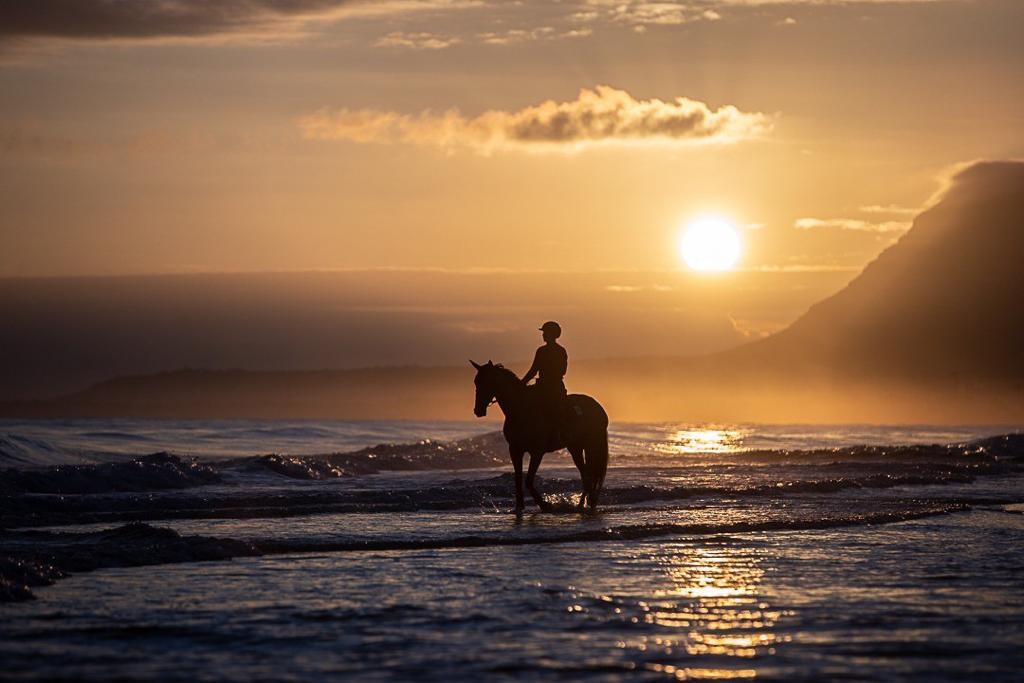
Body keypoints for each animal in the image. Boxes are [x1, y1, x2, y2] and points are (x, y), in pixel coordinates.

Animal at [471, 362, 606, 511]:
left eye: (488, 381)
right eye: (476, 382)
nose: (478, 410)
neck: (520, 409)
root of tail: (598, 407)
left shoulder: (536, 452)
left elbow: (529, 480)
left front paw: (544, 504)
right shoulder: (515, 450)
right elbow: (518, 479)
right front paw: (519, 507)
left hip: (591, 445)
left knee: (589, 475)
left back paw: (585, 505)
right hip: (575, 447)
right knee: (586, 475)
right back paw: (583, 504)